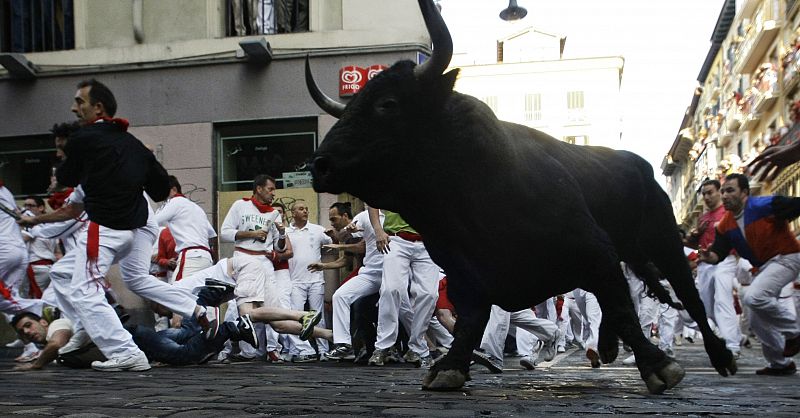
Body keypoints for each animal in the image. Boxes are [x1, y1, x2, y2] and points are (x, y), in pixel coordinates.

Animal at [306, 0, 736, 394]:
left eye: (388, 104)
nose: (319, 164)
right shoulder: (465, 275)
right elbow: (472, 321)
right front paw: (449, 368)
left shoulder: (595, 250)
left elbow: (622, 307)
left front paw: (659, 366)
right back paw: (607, 347)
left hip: (662, 239)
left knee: (688, 296)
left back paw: (721, 356)